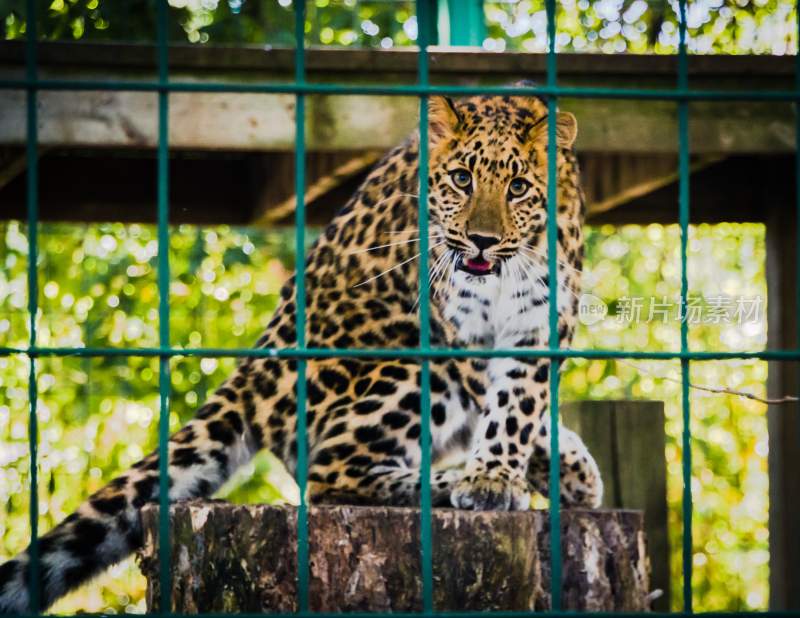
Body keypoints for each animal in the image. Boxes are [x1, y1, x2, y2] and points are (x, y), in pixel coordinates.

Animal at [0, 88, 600, 612]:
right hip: (405, 362)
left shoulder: (542, 319)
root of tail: (254, 370)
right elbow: (507, 405)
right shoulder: (459, 331)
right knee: (329, 468)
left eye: (518, 187)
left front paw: (549, 473)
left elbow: (523, 401)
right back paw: (445, 483)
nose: (480, 240)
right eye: (461, 178)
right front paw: (495, 480)